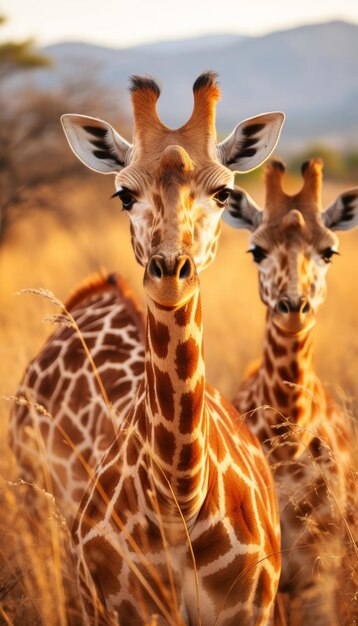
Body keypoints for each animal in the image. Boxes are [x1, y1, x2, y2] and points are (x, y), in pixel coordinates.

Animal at [58, 72, 286, 620]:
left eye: (224, 193)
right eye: (123, 195)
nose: (169, 273)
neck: (179, 494)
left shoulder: (250, 610)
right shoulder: (126, 610)